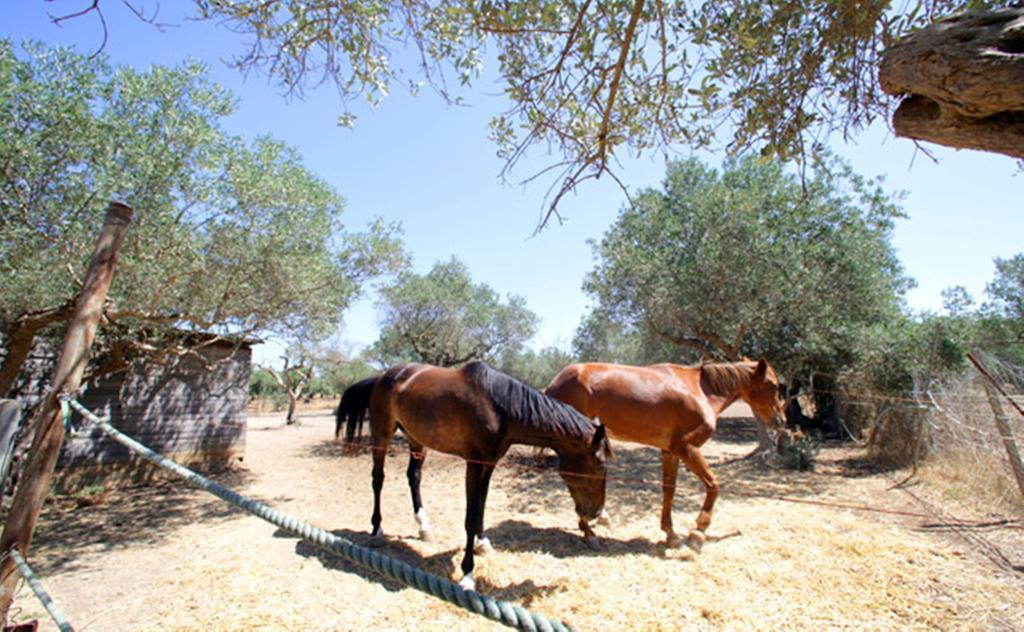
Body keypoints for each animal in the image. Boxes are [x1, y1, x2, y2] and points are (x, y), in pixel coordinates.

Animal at [335, 360, 610, 590]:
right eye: (599, 463)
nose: (595, 513)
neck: (499, 406)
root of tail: (382, 376)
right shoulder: (474, 464)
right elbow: (469, 515)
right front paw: (468, 574)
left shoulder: (489, 464)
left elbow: (481, 506)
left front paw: (483, 543)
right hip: (382, 434)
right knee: (378, 478)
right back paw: (377, 530)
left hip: (416, 439)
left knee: (413, 477)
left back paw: (424, 526)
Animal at [544, 356, 782, 549]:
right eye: (774, 385)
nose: (781, 420)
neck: (700, 390)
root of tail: (552, 385)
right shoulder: (686, 448)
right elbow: (714, 485)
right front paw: (698, 533)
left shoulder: (670, 452)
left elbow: (669, 490)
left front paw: (671, 535)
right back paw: (589, 531)